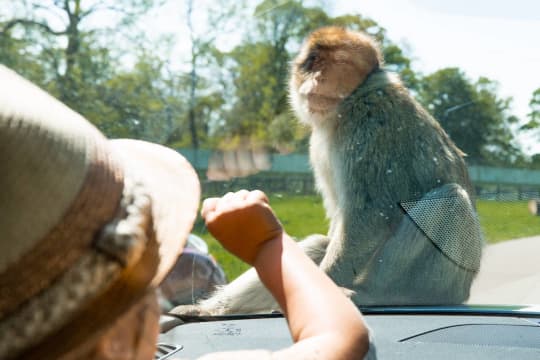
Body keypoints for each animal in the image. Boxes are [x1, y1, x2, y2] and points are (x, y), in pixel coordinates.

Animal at [171, 26, 484, 316]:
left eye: (337, 63)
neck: (350, 102)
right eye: (312, 62)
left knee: (451, 200)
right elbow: (337, 223)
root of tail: (466, 288)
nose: (316, 79)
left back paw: (380, 294)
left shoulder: (371, 126)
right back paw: (210, 310)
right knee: (318, 244)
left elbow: (369, 217)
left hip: (439, 279)